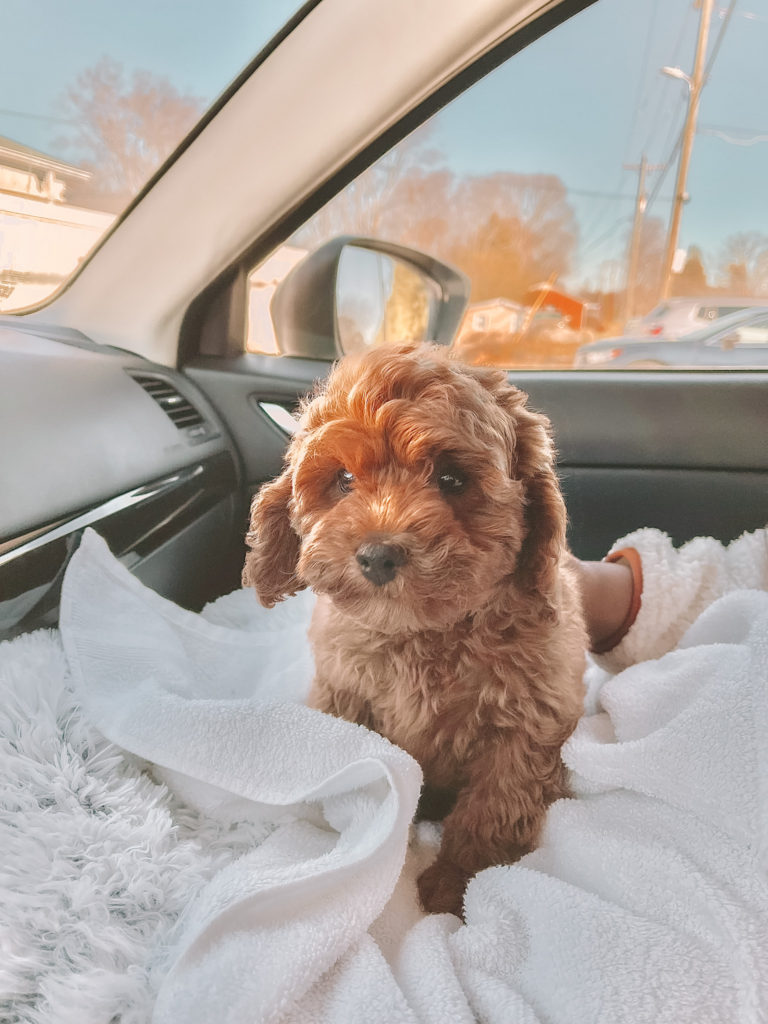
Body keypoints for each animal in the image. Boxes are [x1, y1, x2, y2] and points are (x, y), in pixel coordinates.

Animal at [243, 342, 585, 913]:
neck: (424, 633)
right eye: (344, 480)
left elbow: (494, 806)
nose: (378, 555)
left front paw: (456, 882)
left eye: (452, 479)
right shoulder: (344, 694)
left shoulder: (527, 723)